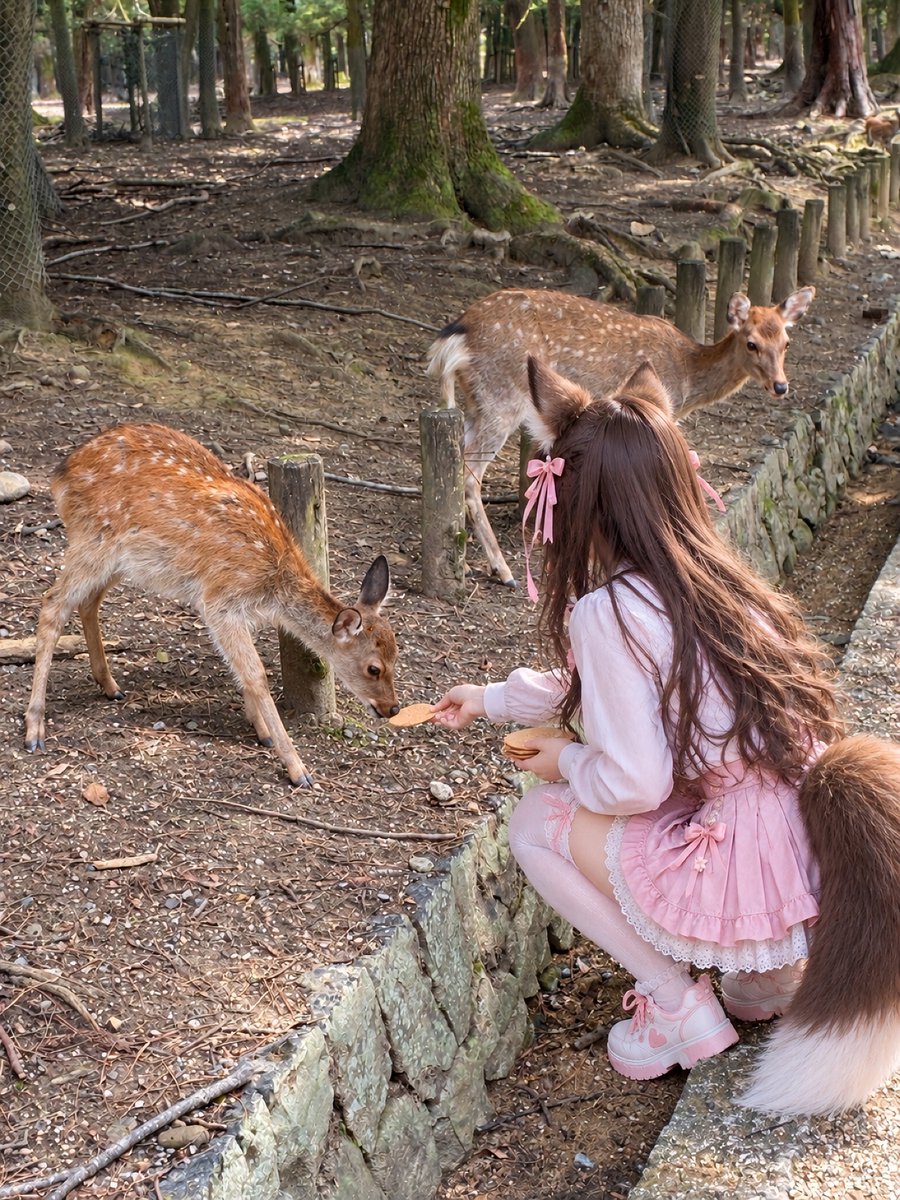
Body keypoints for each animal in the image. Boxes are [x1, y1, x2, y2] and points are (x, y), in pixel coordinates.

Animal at [23, 422, 400, 786]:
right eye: (373, 668)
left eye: (396, 657)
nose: (393, 708)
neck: (272, 585)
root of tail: (60, 475)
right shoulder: (219, 599)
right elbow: (256, 674)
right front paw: (297, 768)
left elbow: (243, 669)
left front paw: (261, 731)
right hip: (93, 540)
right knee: (52, 604)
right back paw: (34, 730)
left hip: (124, 561)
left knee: (88, 603)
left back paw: (110, 686)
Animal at [426, 285, 815, 587]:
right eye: (751, 343)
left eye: (786, 341)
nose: (781, 386)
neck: (687, 380)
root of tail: (457, 335)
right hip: (502, 397)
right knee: (470, 474)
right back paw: (503, 570)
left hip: (477, 402)